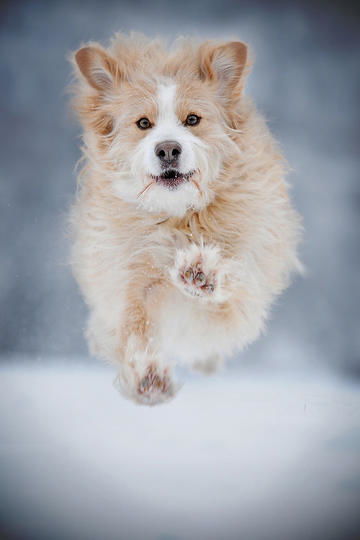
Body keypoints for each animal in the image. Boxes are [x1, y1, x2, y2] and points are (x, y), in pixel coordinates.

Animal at [69, 32, 302, 404]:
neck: (178, 216)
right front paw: (148, 375)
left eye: (192, 119)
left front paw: (201, 270)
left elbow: (232, 276)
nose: (167, 149)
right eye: (143, 123)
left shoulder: (242, 291)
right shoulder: (129, 281)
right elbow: (137, 326)